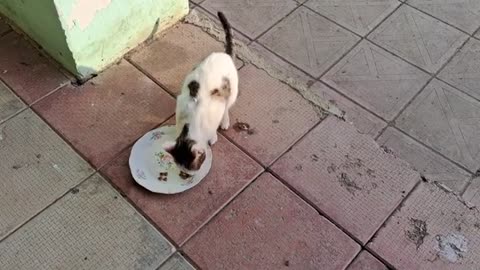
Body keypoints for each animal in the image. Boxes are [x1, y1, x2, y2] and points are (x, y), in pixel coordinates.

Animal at [165, 11, 238, 173]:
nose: (186, 176)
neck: (193, 120)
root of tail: (224, 54)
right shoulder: (181, 105)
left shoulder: (216, 109)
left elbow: (213, 128)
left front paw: (213, 137)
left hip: (231, 92)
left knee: (228, 106)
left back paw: (225, 121)